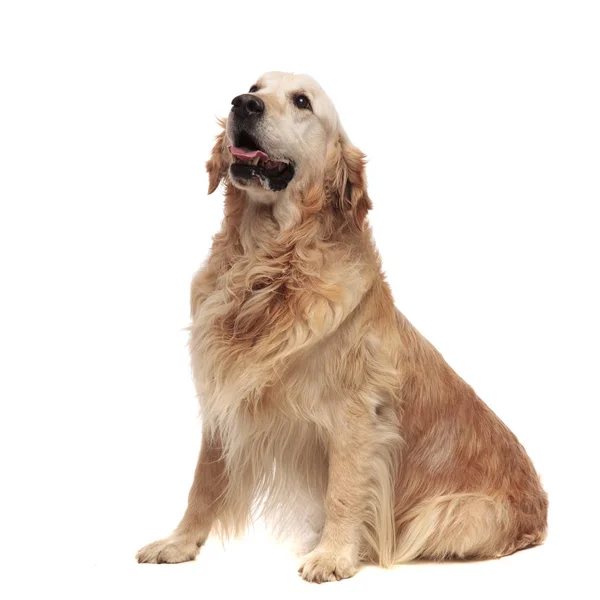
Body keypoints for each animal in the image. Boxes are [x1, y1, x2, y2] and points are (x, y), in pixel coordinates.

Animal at [137, 70, 548, 580]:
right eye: (254, 86)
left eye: (301, 101)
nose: (243, 104)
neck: (268, 265)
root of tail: (542, 511)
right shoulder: (222, 392)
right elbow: (204, 480)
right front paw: (179, 542)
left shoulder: (357, 414)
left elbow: (344, 490)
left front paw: (333, 555)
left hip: (447, 514)